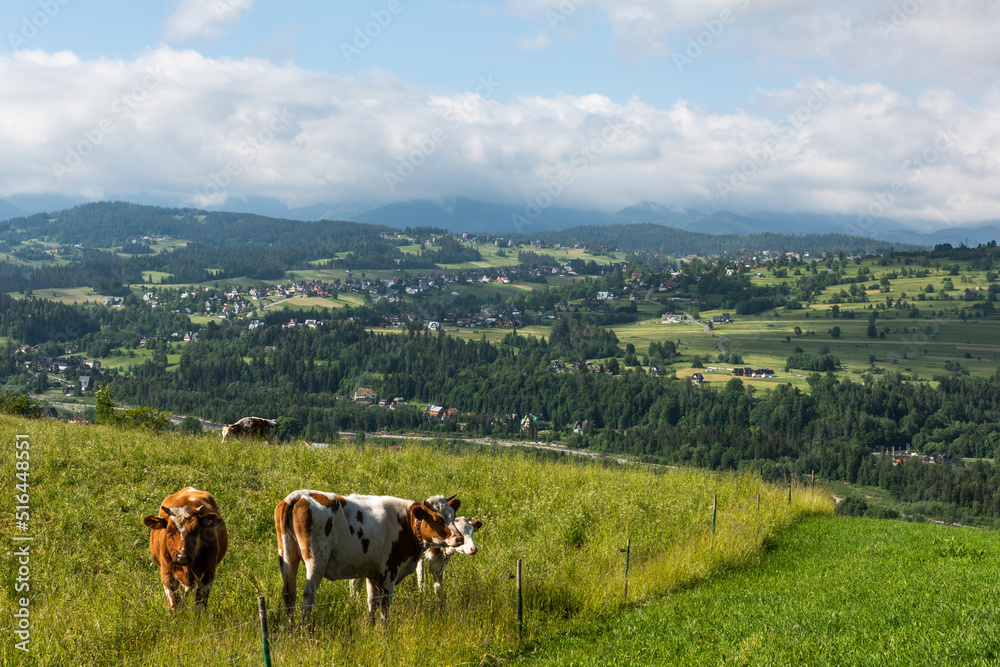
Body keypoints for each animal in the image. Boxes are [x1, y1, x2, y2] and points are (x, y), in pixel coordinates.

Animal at [278, 490, 464, 628]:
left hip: (288, 557)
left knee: (289, 594)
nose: (459, 538)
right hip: (316, 560)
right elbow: (385, 603)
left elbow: (371, 601)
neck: (406, 521)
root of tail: (299, 495)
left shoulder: (372, 574)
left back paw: (291, 628)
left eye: (452, 515)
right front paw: (384, 629)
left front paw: (371, 626)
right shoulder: (389, 570)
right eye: (437, 519)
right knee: (308, 595)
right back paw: (305, 628)